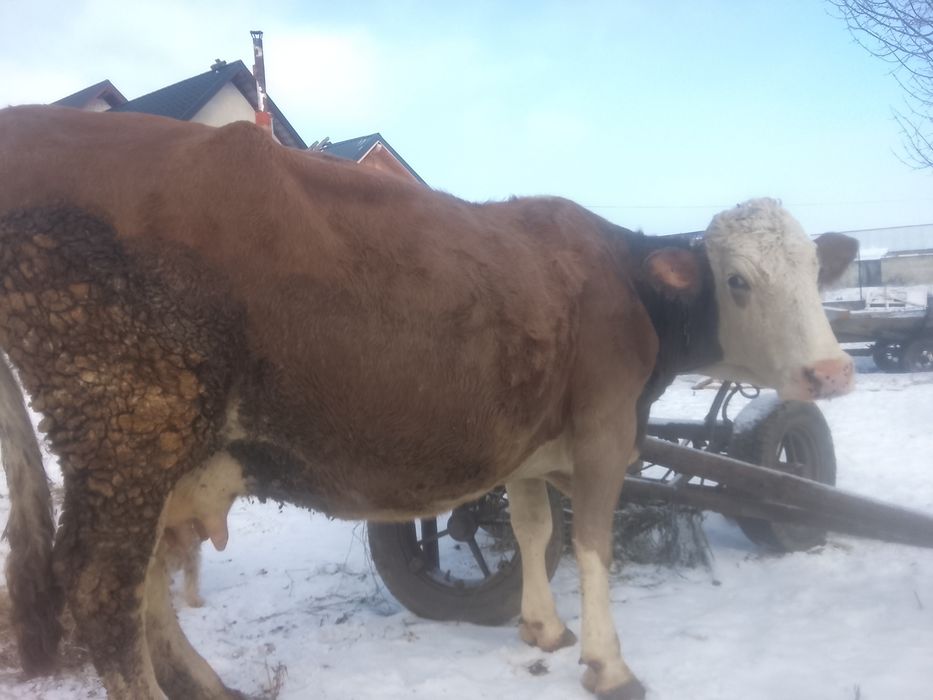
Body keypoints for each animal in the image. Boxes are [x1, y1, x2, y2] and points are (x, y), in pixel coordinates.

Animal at [0, 105, 856, 700]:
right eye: (738, 281)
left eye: (816, 272)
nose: (830, 373)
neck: (621, 281)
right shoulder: (605, 430)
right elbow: (590, 544)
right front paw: (608, 666)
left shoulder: (530, 442)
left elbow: (533, 527)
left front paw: (543, 629)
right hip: (130, 421)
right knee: (101, 592)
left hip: (161, 450)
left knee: (145, 583)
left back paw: (212, 686)